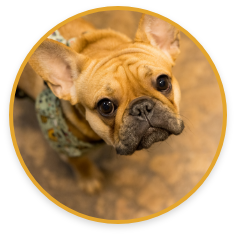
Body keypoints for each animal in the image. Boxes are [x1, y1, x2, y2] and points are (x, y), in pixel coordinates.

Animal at [18, 14, 184, 194]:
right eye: (105, 106)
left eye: (162, 82)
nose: (141, 107)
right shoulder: (65, 147)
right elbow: (80, 163)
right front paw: (89, 178)